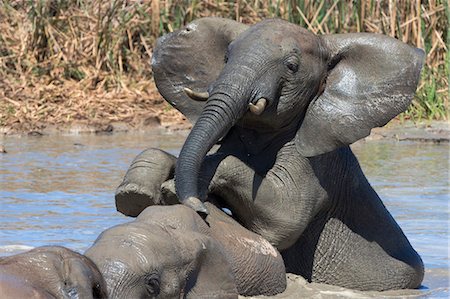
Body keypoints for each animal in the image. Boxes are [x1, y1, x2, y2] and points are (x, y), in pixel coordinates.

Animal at [116, 17, 426, 292]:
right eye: (226, 58)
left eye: (291, 67)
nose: (199, 209)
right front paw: (136, 193)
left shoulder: (318, 165)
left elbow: (285, 219)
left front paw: (172, 189)